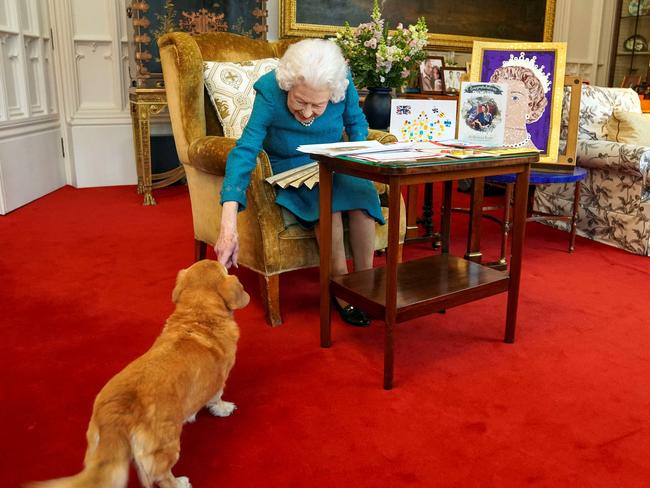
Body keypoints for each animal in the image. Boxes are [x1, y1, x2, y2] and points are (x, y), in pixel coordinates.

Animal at [30, 262, 249, 486]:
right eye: (223, 268)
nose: (225, 260)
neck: (198, 316)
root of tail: (117, 414)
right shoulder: (220, 379)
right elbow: (216, 397)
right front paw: (223, 408)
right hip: (166, 446)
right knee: (163, 476)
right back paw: (179, 482)